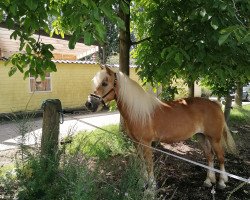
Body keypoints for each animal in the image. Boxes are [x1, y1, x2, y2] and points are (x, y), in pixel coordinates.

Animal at [85, 66, 237, 190]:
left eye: (105, 83)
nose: (89, 104)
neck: (138, 112)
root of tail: (214, 104)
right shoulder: (136, 143)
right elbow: (141, 162)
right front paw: (142, 183)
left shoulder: (146, 143)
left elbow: (148, 163)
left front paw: (151, 185)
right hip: (202, 137)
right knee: (209, 156)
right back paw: (208, 181)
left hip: (215, 138)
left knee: (220, 157)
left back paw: (222, 182)